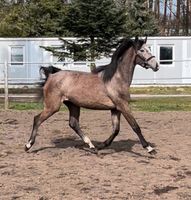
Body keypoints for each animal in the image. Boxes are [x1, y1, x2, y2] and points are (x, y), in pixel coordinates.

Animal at [25, 36, 160, 155]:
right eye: (142, 50)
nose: (156, 65)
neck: (117, 78)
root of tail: (51, 76)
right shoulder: (123, 105)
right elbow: (135, 126)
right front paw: (150, 149)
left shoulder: (115, 109)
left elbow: (116, 130)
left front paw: (102, 145)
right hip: (52, 106)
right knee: (37, 119)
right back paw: (28, 145)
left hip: (73, 105)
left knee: (73, 123)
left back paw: (92, 146)